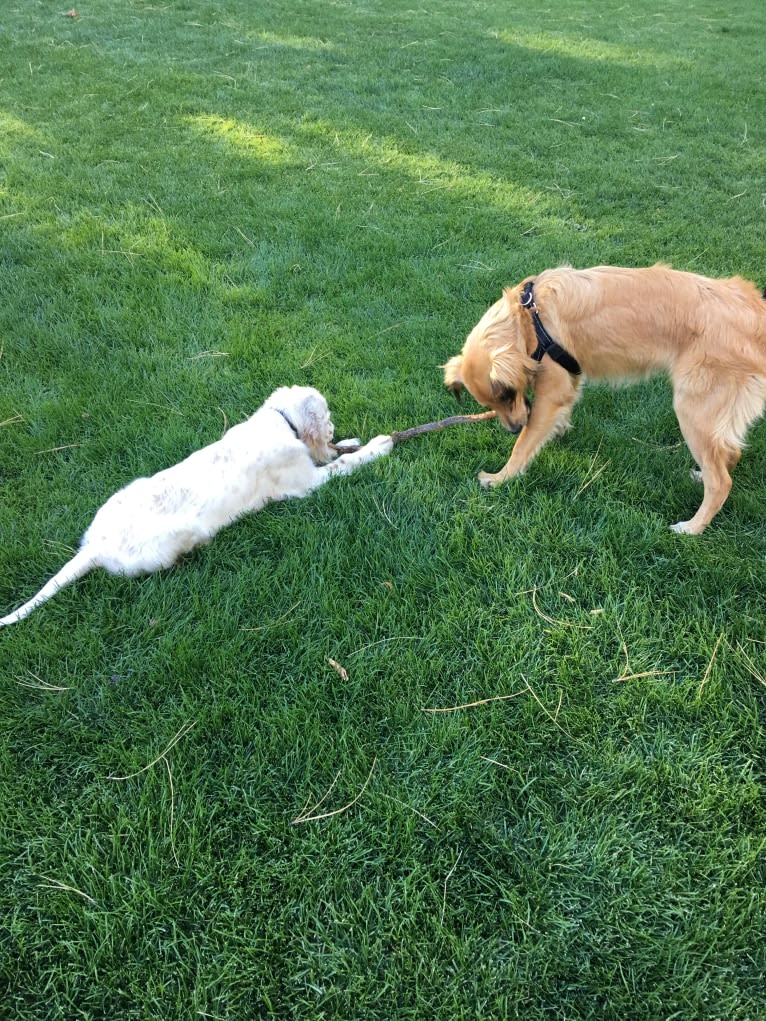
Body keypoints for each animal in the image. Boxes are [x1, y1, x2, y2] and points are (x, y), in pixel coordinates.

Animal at [0, 383, 392, 620]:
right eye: (327, 415)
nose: (333, 428)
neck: (278, 421)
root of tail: (96, 546)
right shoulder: (305, 483)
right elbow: (343, 464)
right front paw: (378, 445)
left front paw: (352, 441)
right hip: (179, 536)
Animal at [443, 263, 766, 535]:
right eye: (492, 404)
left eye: (508, 393)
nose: (512, 428)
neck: (530, 319)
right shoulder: (568, 383)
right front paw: (557, 431)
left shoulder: (551, 392)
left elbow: (523, 445)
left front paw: (500, 478)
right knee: (728, 455)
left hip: (693, 411)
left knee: (721, 481)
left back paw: (692, 528)